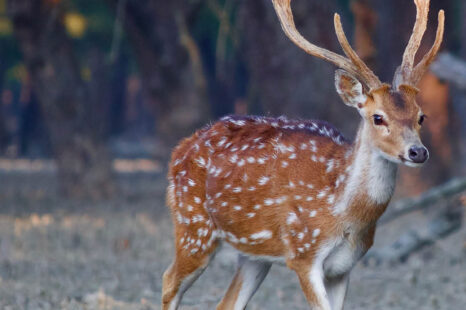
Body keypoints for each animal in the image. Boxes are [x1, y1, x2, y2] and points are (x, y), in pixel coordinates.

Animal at [162, 0, 446, 310]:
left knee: (227, 302)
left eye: (421, 116)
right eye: (378, 117)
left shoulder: (345, 266)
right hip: (193, 226)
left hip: (253, 253)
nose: (417, 151)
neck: (343, 213)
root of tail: (180, 148)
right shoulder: (303, 253)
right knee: (168, 281)